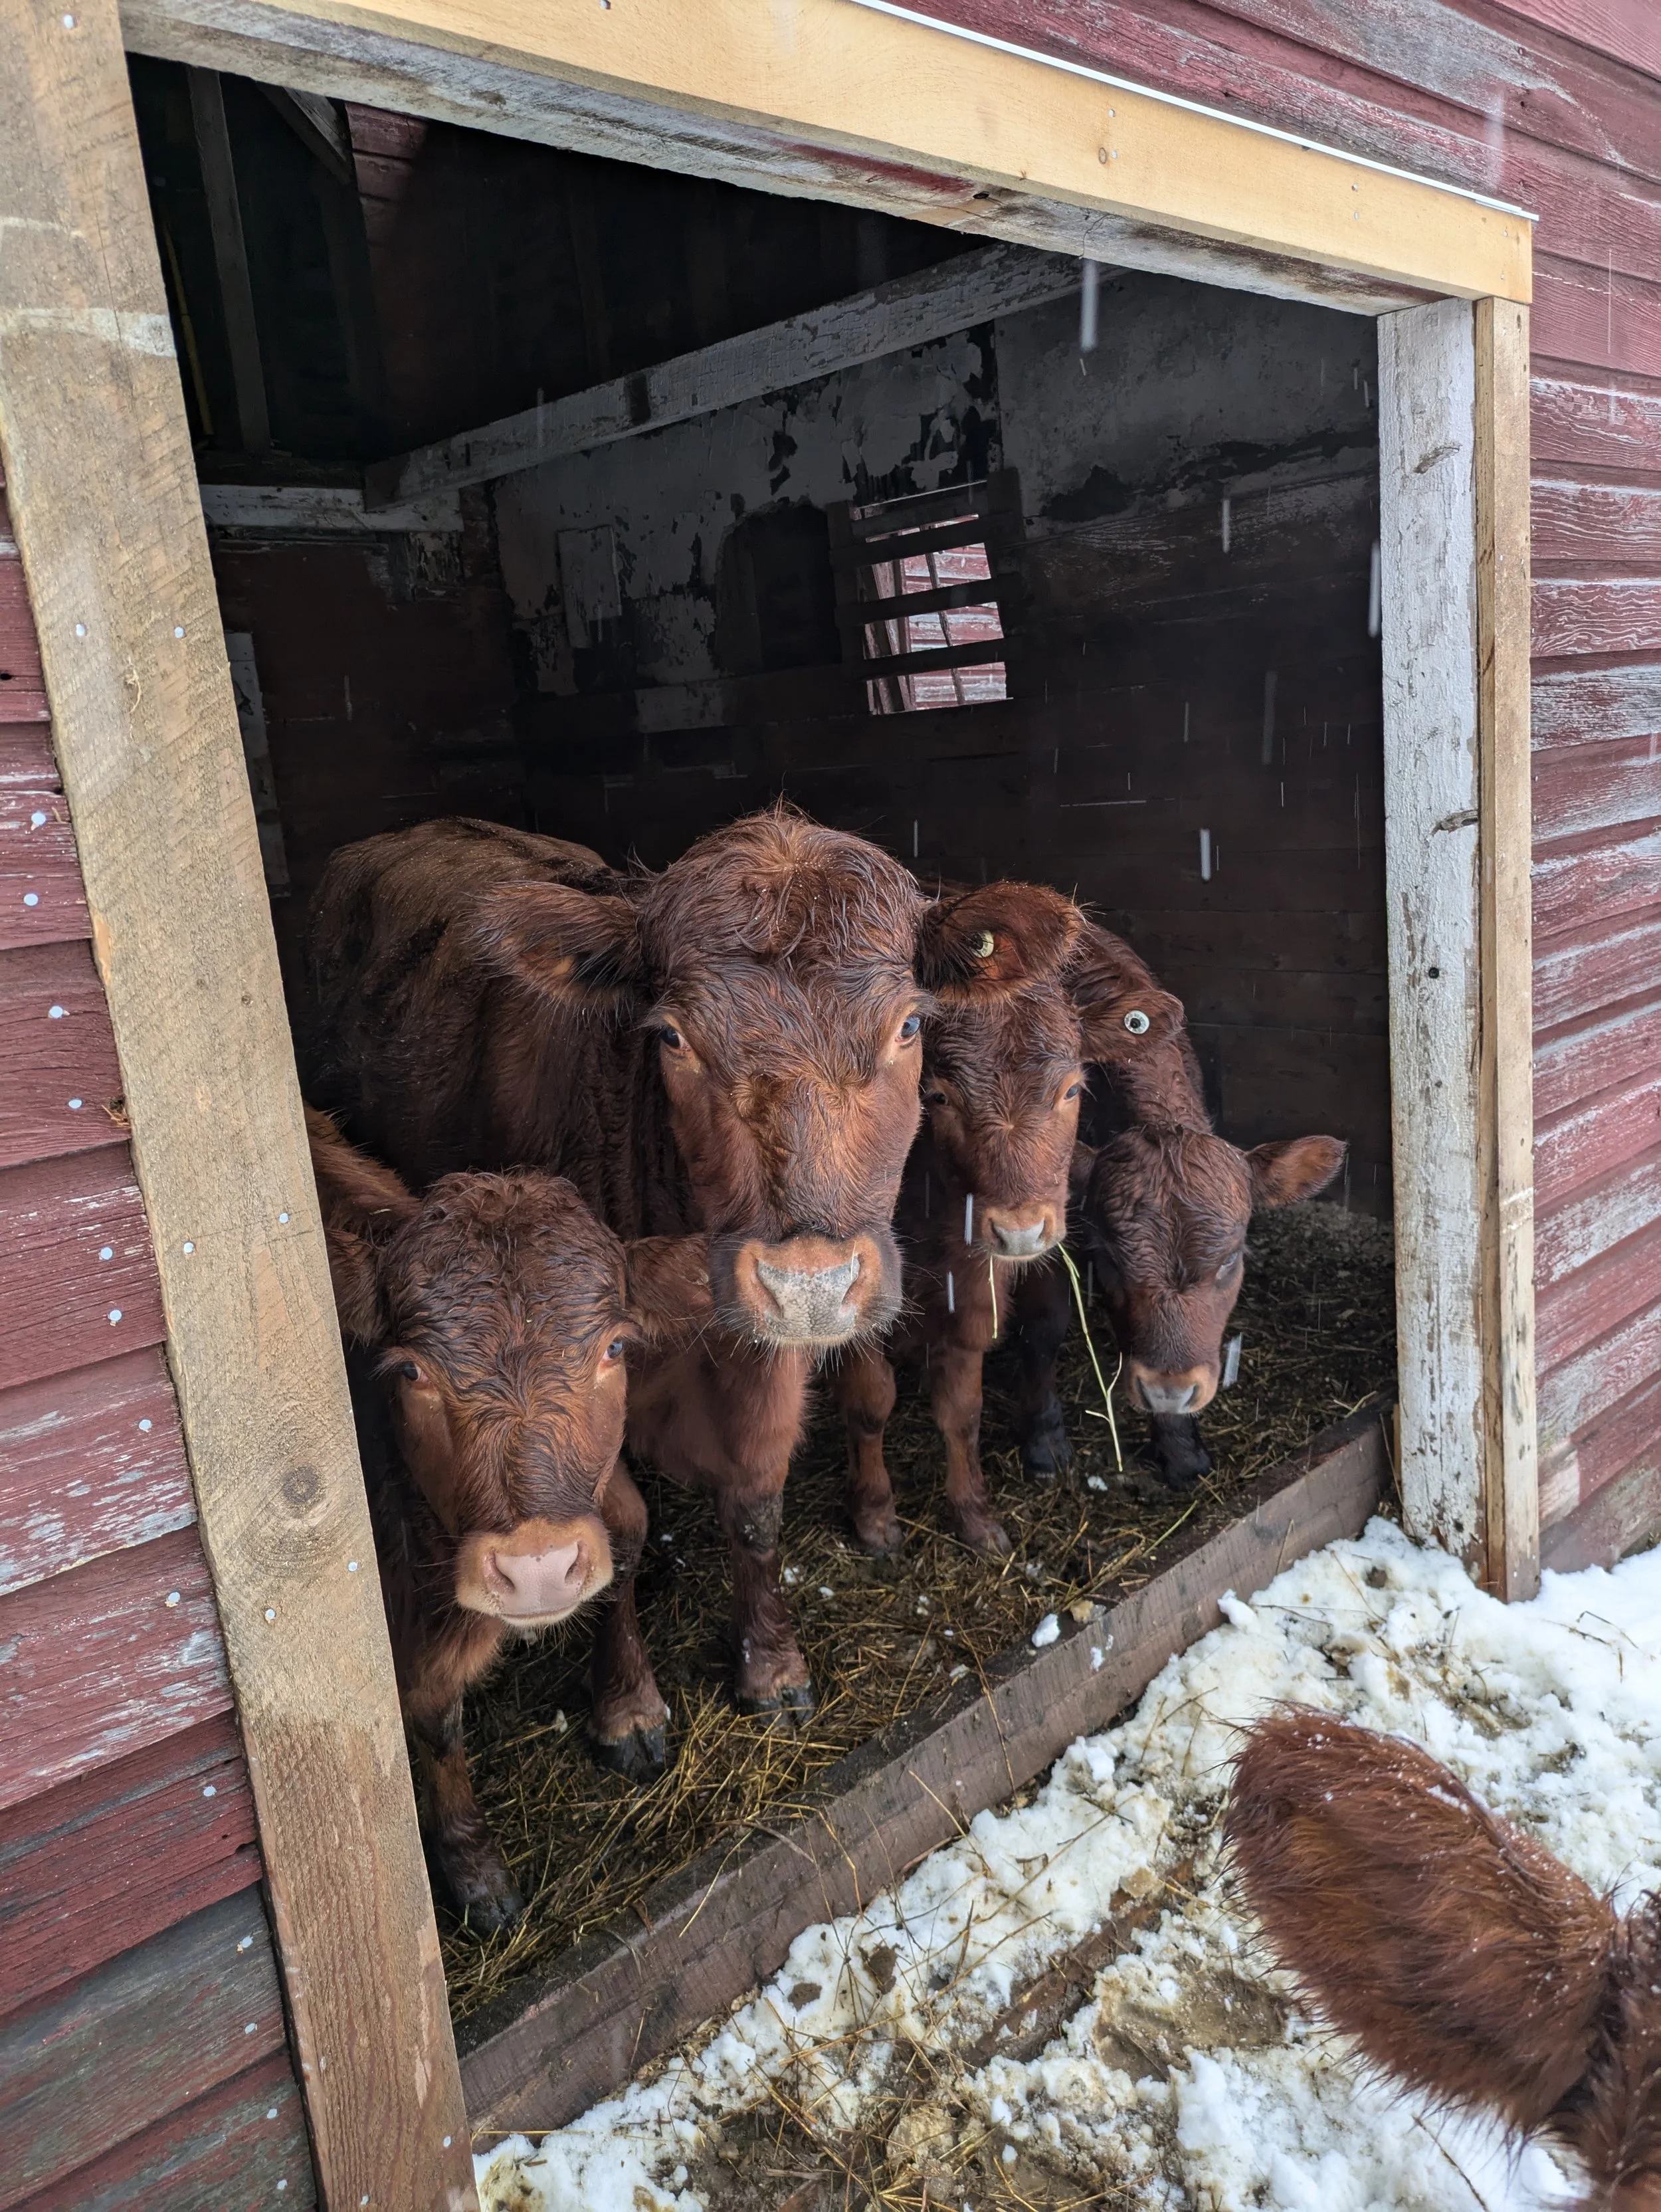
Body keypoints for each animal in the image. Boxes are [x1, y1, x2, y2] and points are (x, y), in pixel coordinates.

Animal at [306, 809, 1033, 1774]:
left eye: (910, 1023)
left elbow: (756, 1508)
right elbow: (618, 1526)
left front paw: (772, 1665)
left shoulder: (761, 1365)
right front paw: (628, 1706)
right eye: (673, 1037)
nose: (811, 1283)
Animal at [306, 1106, 708, 1926]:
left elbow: (628, 1534)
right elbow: (436, 1715)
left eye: (615, 1347)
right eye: (411, 1370)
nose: (538, 1565)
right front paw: (473, 1864)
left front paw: (629, 1708)